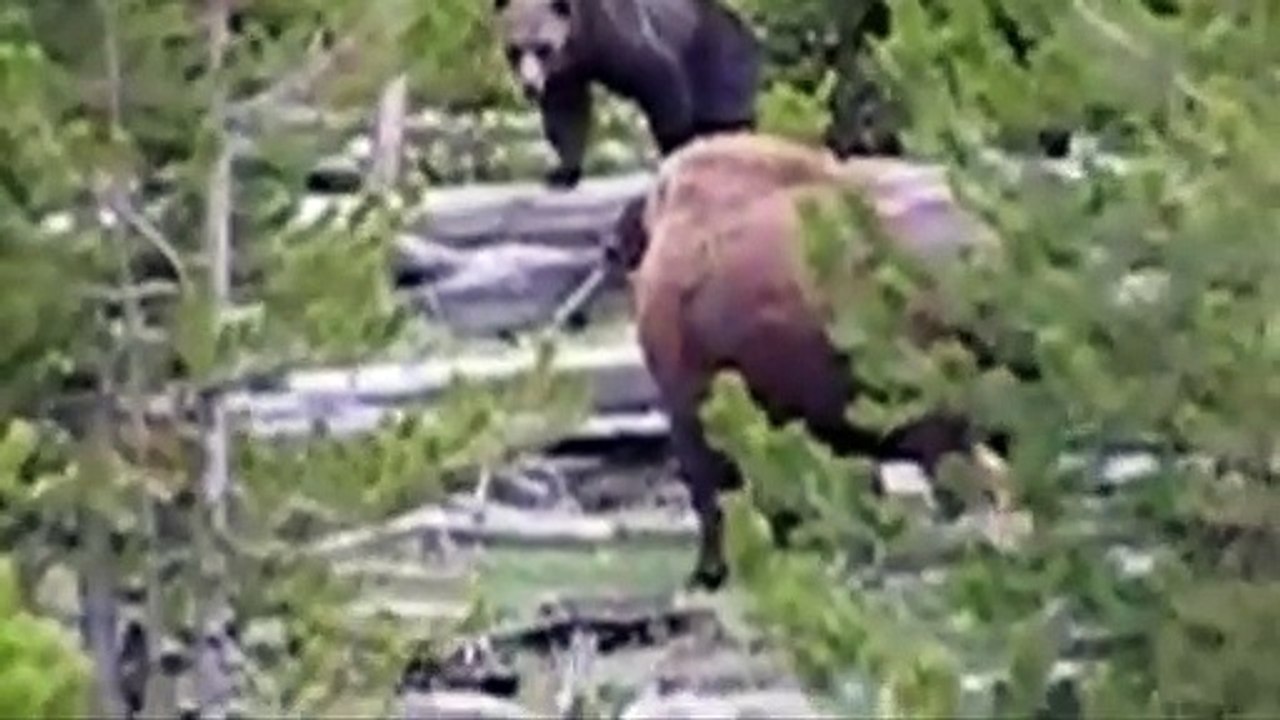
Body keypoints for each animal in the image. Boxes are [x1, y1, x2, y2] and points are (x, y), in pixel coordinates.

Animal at [493, 0, 762, 189]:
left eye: (543, 49)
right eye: (514, 51)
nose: (530, 86)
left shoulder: (614, 32)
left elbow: (657, 75)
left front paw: (672, 148)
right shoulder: (566, 71)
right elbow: (565, 111)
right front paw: (562, 173)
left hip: (715, 58)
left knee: (726, 115)